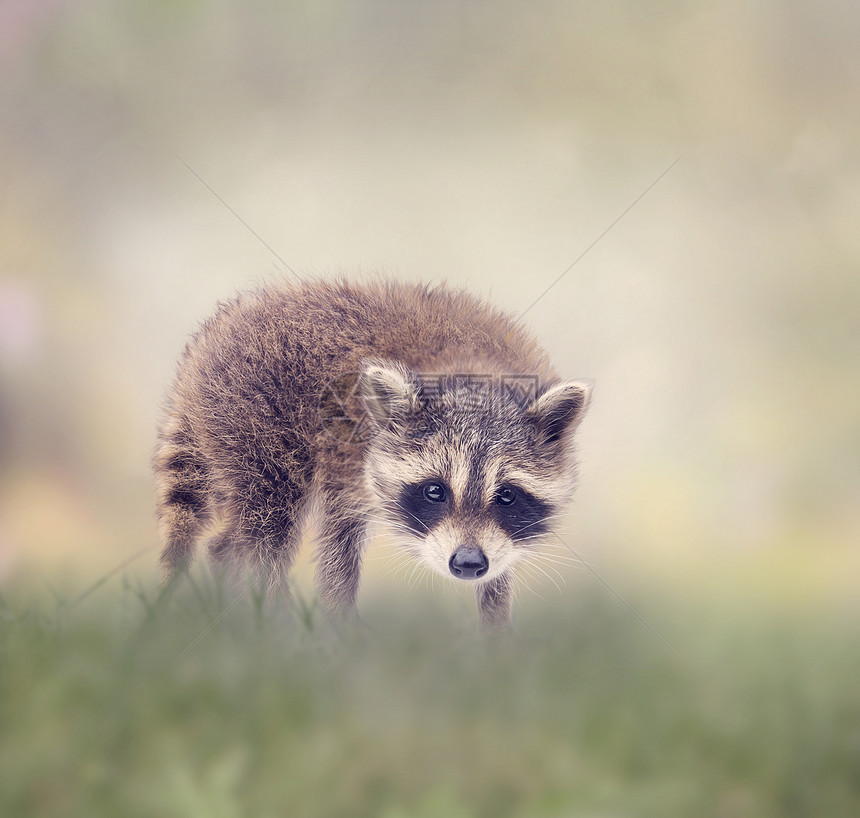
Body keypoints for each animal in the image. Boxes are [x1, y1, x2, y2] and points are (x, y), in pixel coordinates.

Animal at [155, 278, 592, 628]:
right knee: (267, 521)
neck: (474, 376)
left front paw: (496, 638)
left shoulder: (499, 533)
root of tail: (217, 331)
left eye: (507, 495)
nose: (467, 563)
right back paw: (268, 613)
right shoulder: (345, 455)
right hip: (255, 422)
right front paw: (341, 630)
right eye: (435, 490)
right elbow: (338, 546)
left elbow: (500, 559)